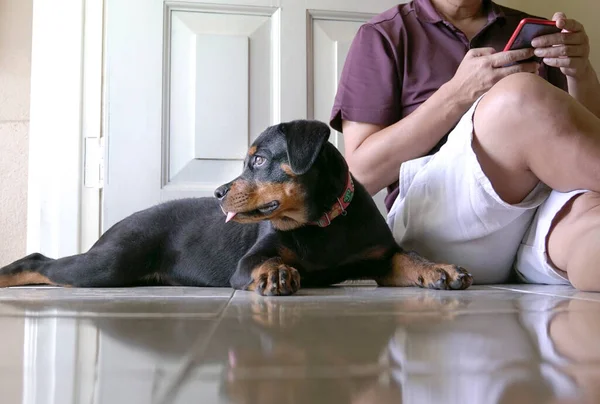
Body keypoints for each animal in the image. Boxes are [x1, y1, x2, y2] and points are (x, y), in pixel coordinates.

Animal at [0, 119, 474, 294]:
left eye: (259, 160)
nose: (218, 192)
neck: (321, 224)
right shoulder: (247, 261)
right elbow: (264, 262)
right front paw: (277, 273)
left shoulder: (380, 258)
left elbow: (408, 257)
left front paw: (440, 269)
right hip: (110, 264)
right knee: (42, 261)